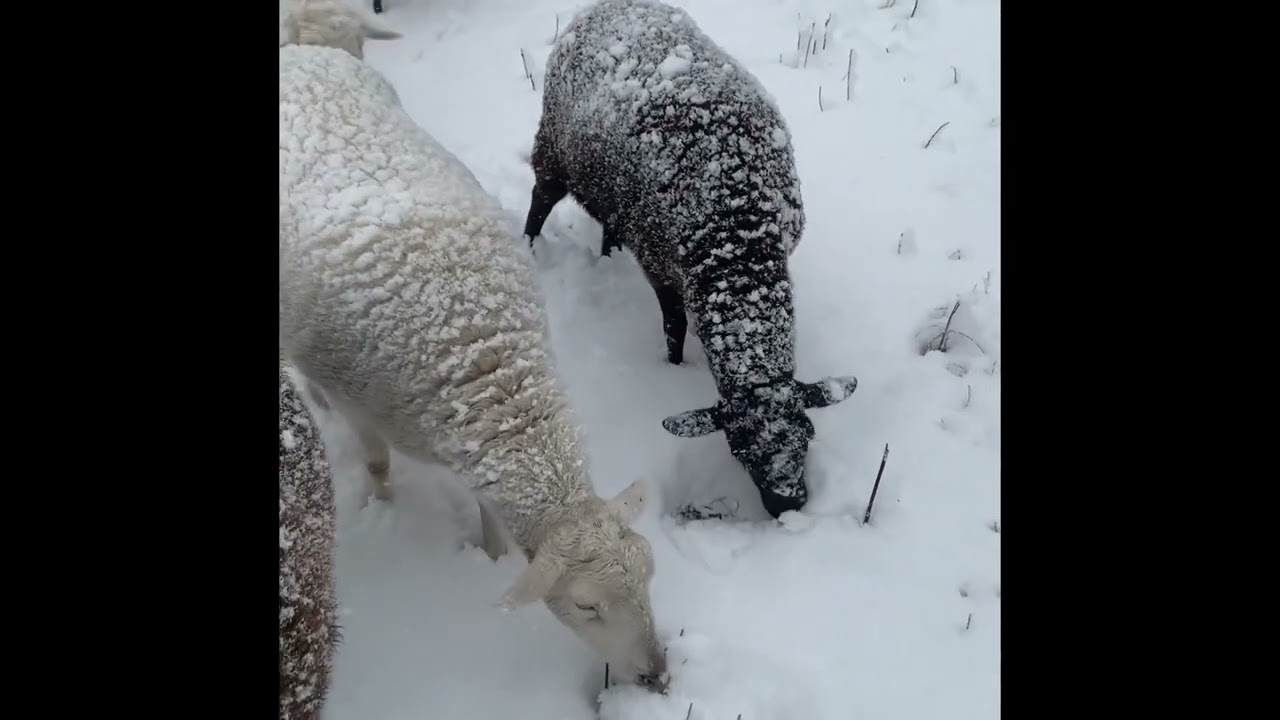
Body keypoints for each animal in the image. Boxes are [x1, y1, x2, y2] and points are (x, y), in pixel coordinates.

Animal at [278, 5, 668, 689]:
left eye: (649, 575)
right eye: (585, 607)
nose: (658, 676)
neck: (484, 364)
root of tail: (304, 55)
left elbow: (488, 511)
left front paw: (488, 553)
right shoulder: (365, 405)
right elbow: (377, 465)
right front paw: (383, 507)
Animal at [522, 0, 859, 520]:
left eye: (809, 433)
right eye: (737, 450)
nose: (789, 506)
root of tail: (605, 7)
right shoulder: (663, 268)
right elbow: (674, 327)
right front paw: (673, 371)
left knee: (609, 224)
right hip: (553, 150)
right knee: (539, 203)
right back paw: (527, 248)